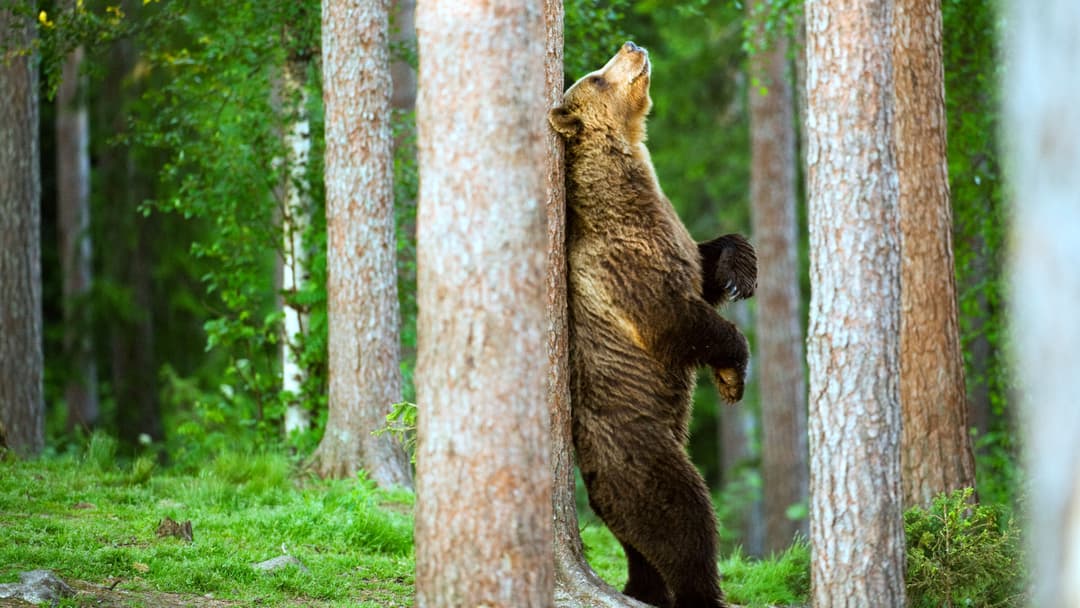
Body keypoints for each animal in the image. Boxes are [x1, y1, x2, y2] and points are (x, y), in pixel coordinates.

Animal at [549, 42, 755, 608]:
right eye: (597, 77)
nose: (631, 46)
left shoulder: (671, 234)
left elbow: (704, 262)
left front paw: (739, 271)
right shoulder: (626, 263)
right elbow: (675, 320)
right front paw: (733, 375)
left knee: (640, 544)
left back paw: (644, 589)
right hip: (641, 451)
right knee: (684, 519)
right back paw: (700, 592)